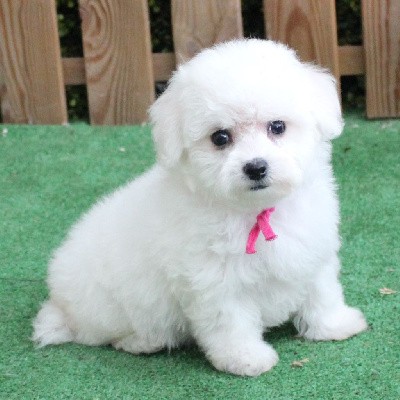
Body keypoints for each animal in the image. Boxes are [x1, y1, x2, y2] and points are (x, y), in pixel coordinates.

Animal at [33, 39, 367, 376]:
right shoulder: (215, 281)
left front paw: (335, 325)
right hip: (110, 305)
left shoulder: (314, 251)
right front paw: (245, 358)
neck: (254, 211)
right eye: (220, 137)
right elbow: (231, 322)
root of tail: (60, 304)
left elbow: (322, 292)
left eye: (277, 126)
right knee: (103, 332)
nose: (255, 167)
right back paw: (143, 341)